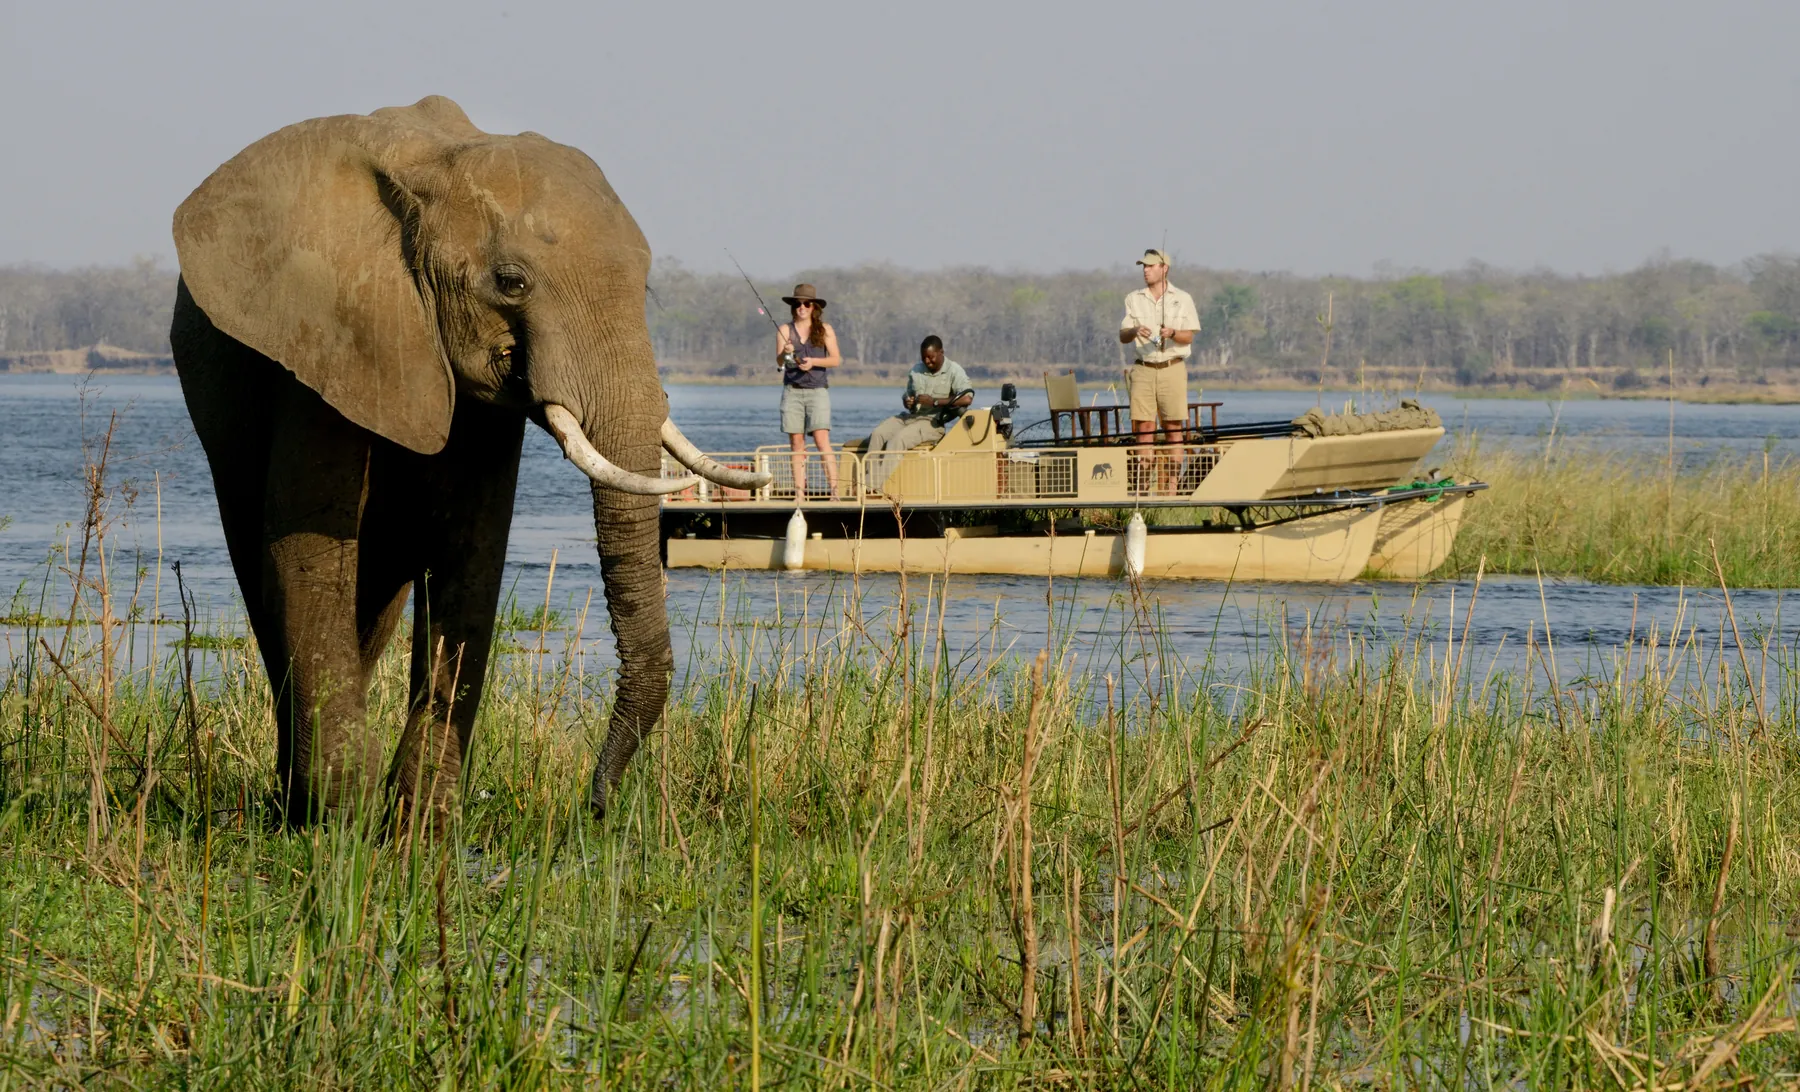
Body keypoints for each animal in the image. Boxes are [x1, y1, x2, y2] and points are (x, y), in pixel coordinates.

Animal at [169, 95, 767, 825]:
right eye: (510, 282)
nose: (596, 803)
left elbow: (473, 550)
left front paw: (418, 824)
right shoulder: (323, 333)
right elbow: (309, 548)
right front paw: (342, 819)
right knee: (267, 572)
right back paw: (297, 806)